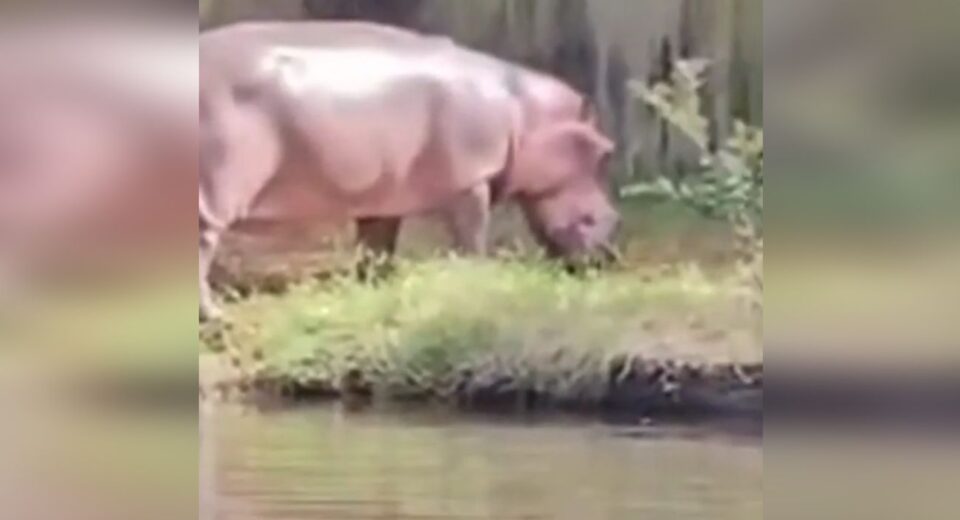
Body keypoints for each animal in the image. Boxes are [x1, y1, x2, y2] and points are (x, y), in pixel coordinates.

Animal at [200, 21, 620, 320]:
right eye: (604, 151)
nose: (608, 258)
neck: (527, 116)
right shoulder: (472, 181)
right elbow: (472, 235)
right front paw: (477, 276)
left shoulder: (383, 195)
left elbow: (377, 245)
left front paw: (377, 286)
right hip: (217, 191)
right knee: (204, 246)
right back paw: (215, 315)